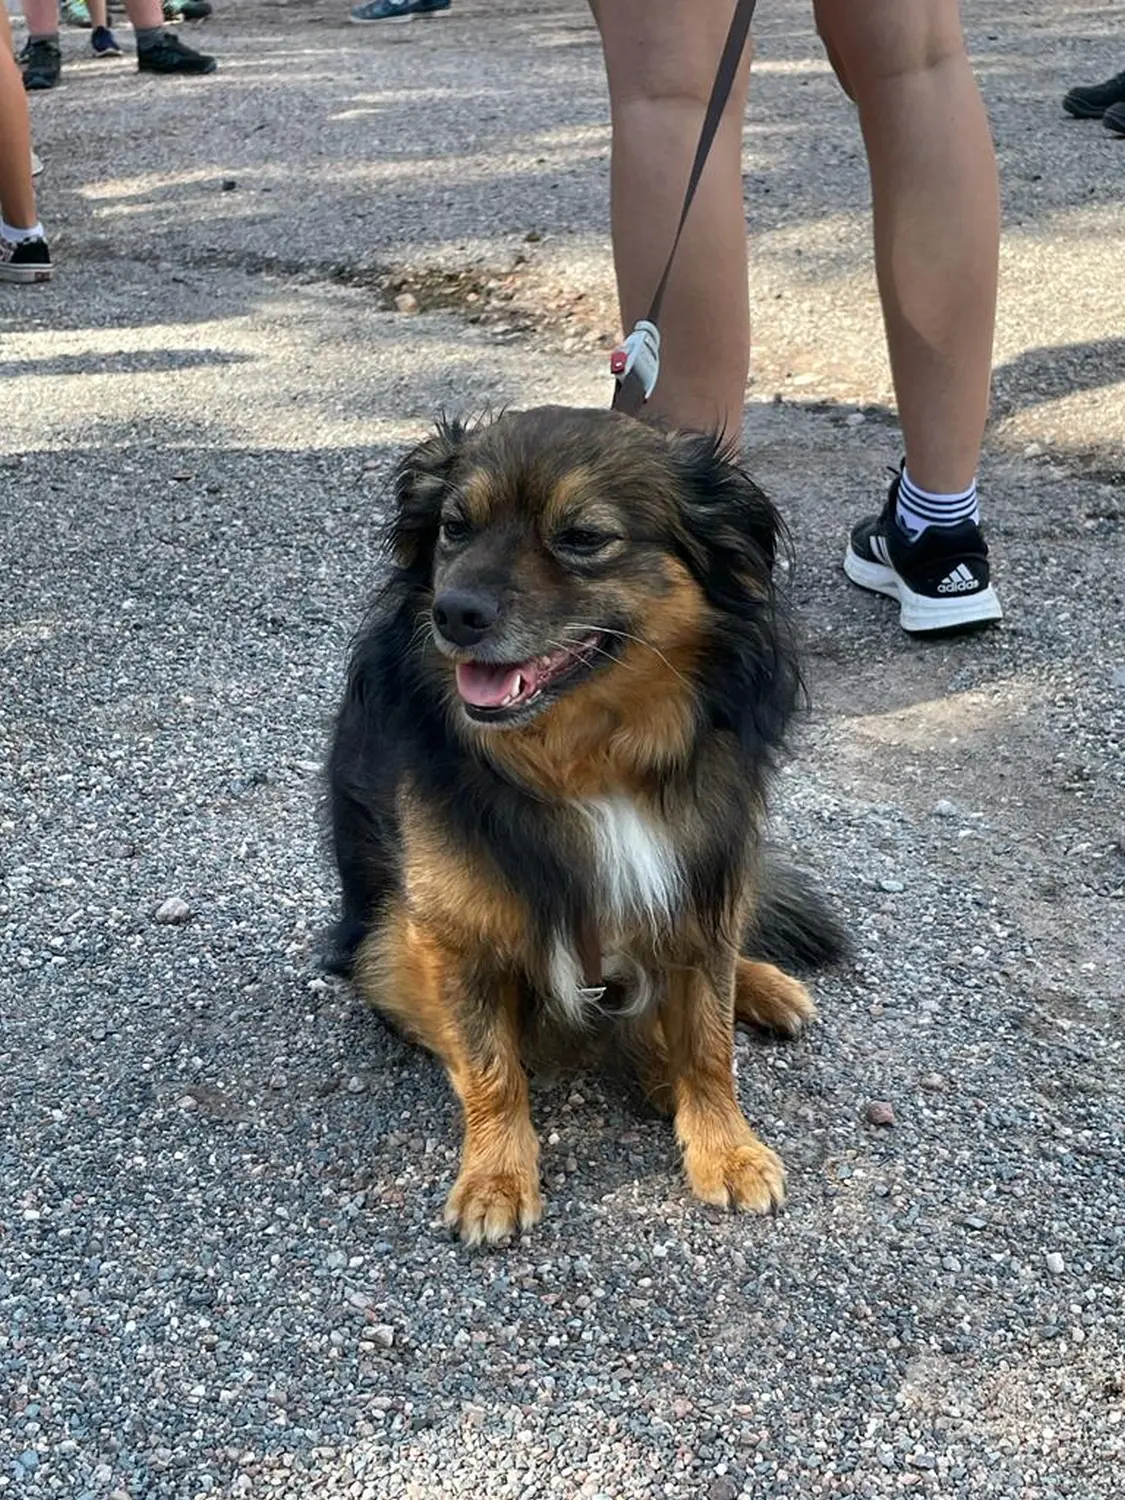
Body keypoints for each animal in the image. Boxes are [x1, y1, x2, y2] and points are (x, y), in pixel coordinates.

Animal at [324, 405, 846, 1248]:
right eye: (454, 528)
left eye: (582, 536)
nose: (451, 614)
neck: (587, 767)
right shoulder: (450, 933)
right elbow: (490, 1068)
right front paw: (495, 1177)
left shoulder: (699, 881)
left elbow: (708, 1042)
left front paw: (725, 1148)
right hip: (379, 946)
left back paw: (757, 991)